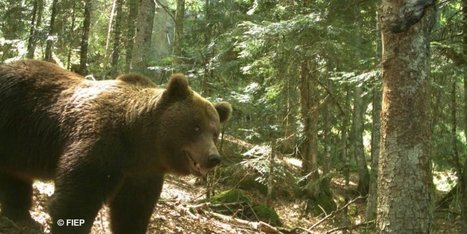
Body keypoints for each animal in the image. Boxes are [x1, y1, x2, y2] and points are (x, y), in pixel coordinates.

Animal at [0, 60, 232, 234]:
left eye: (215, 132)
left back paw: (21, 217)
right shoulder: (101, 145)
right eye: (195, 127)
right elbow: (76, 200)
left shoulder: (141, 172)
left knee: (15, 177)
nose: (213, 157)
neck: (139, 142)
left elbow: (133, 210)